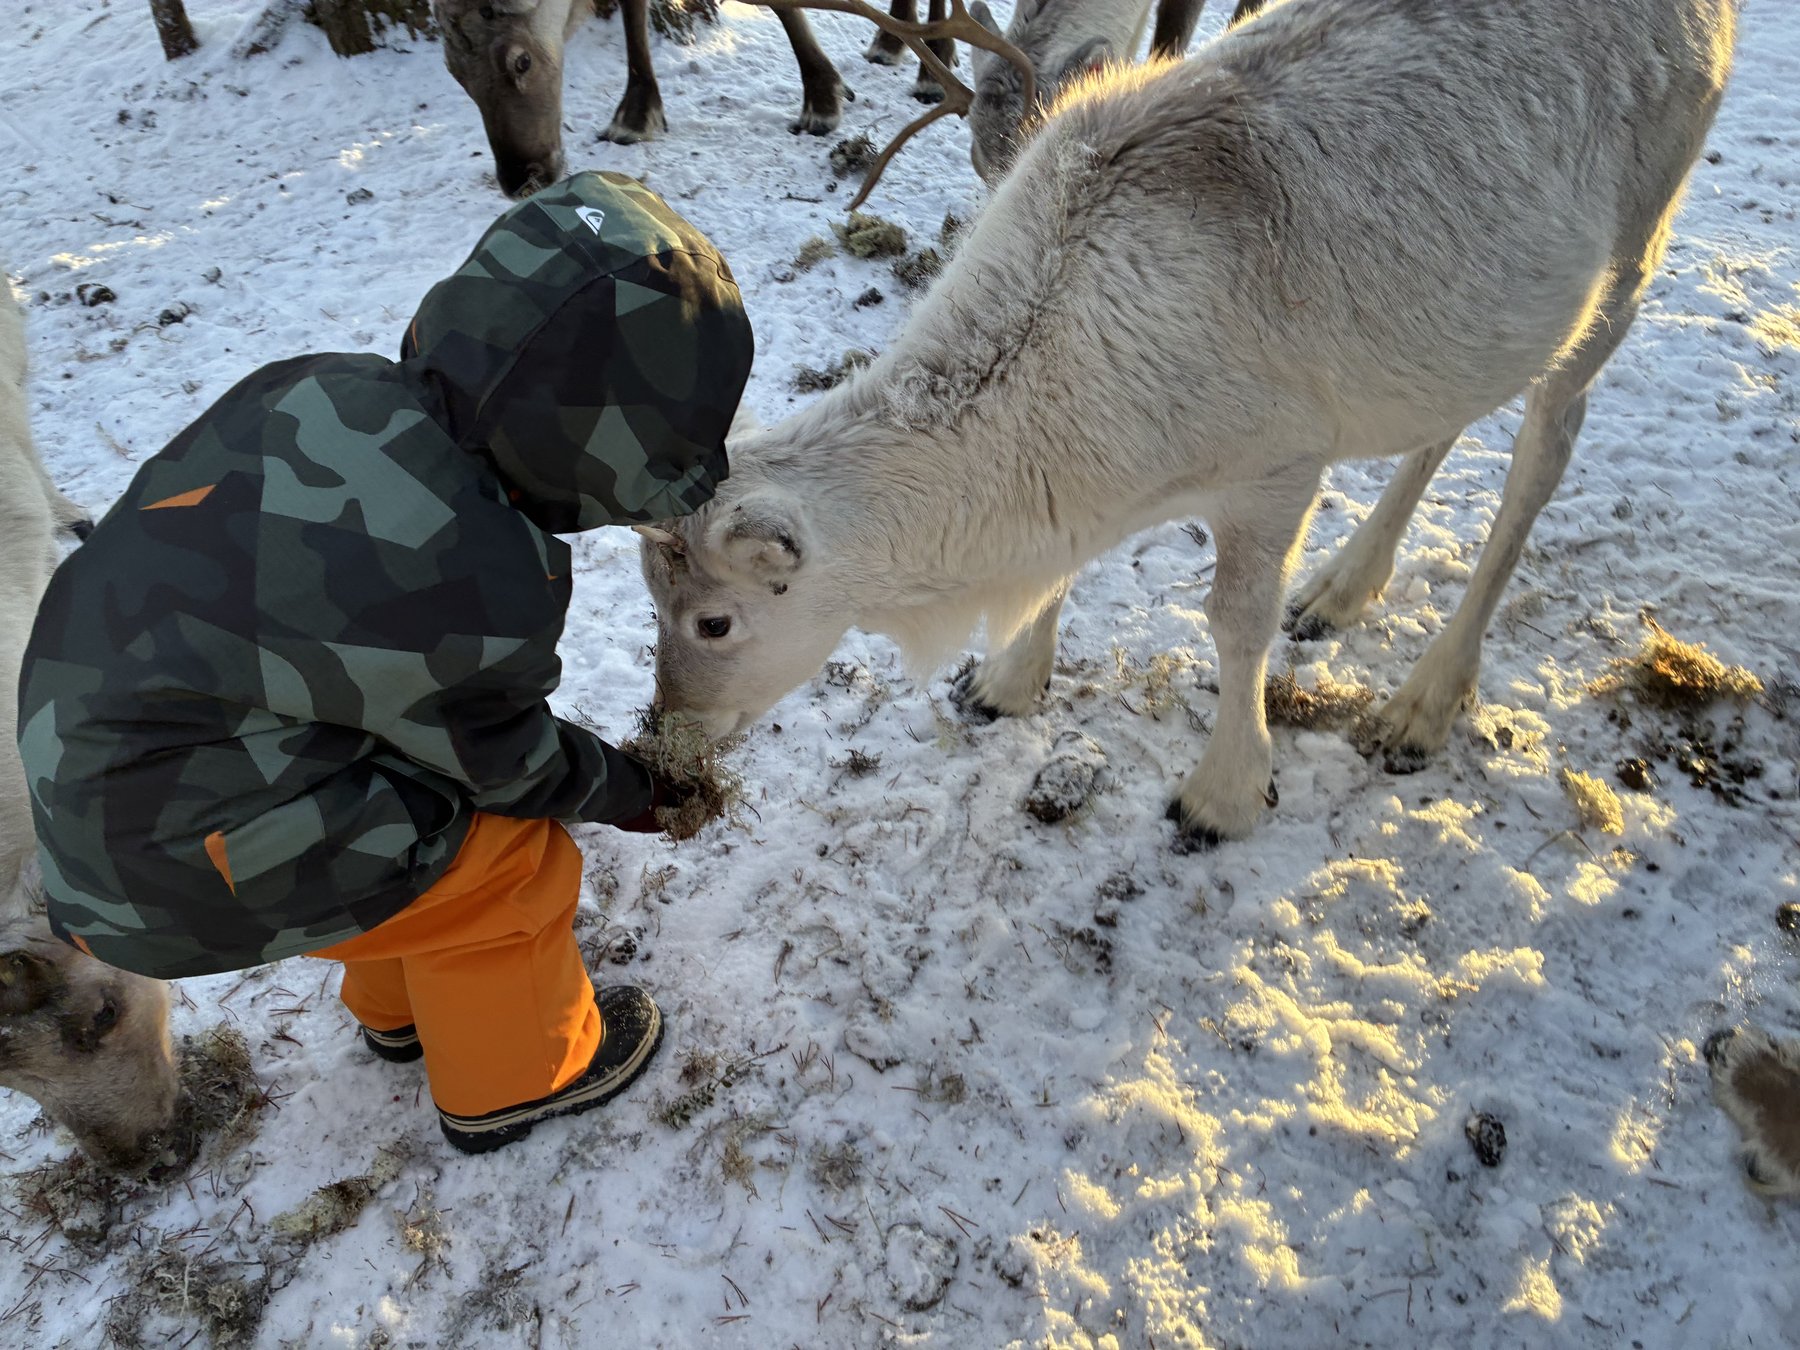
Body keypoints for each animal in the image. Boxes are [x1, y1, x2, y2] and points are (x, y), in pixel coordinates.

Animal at [638, 0, 1739, 848]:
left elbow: (1235, 623)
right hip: (1476, 318)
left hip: (1638, 238)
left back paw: (1422, 704)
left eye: (714, 620)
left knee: (1545, 450)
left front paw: (1225, 794)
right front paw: (1004, 680)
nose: (668, 743)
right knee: (1453, 415)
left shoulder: (1281, 459)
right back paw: (1344, 586)